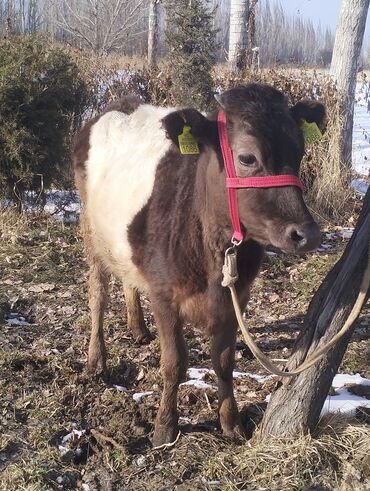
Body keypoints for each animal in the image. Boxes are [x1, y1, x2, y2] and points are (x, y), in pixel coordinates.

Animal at [74, 85, 324, 450]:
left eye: (300, 150)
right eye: (247, 158)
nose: (307, 234)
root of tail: (119, 104)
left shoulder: (237, 296)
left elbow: (224, 360)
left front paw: (231, 423)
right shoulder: (164, 295)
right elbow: (174, 363)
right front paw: (165, 428)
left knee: (129, 279)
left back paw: (137, 328)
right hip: (91, 230)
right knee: (98, 293)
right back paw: (96, 360)